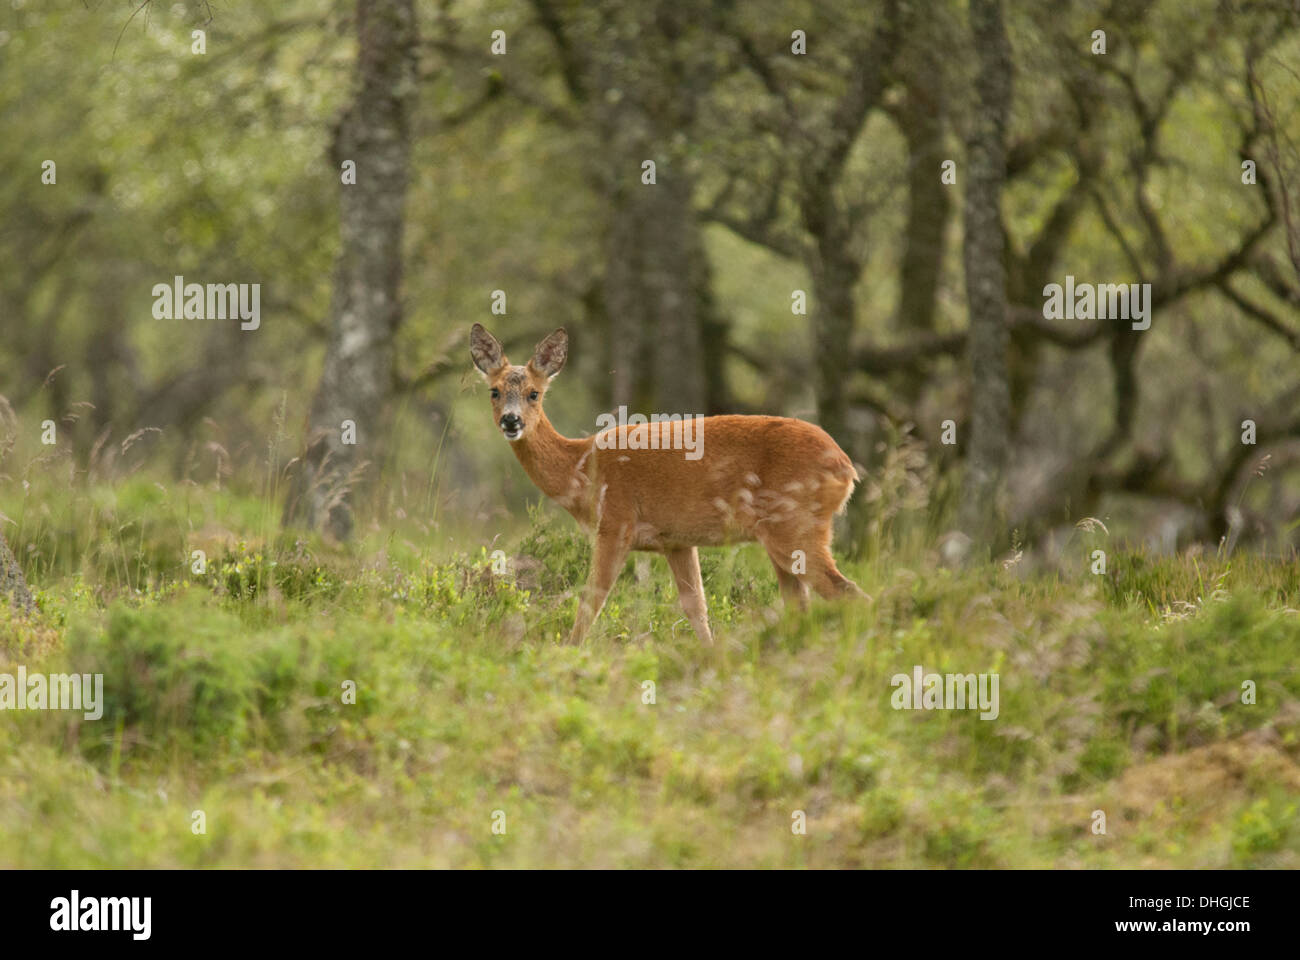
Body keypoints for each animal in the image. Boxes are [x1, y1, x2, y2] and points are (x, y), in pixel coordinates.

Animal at [467, 323, 863, 642]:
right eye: (494, 391)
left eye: (534, 392)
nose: (511, 421)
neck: (583, 467)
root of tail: (846, 468)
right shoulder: (677, 541)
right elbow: (696, 607)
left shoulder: (616, 524)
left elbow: (591, 600)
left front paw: (569, 654)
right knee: (802, 603)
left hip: (795, 526)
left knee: (847, 591)